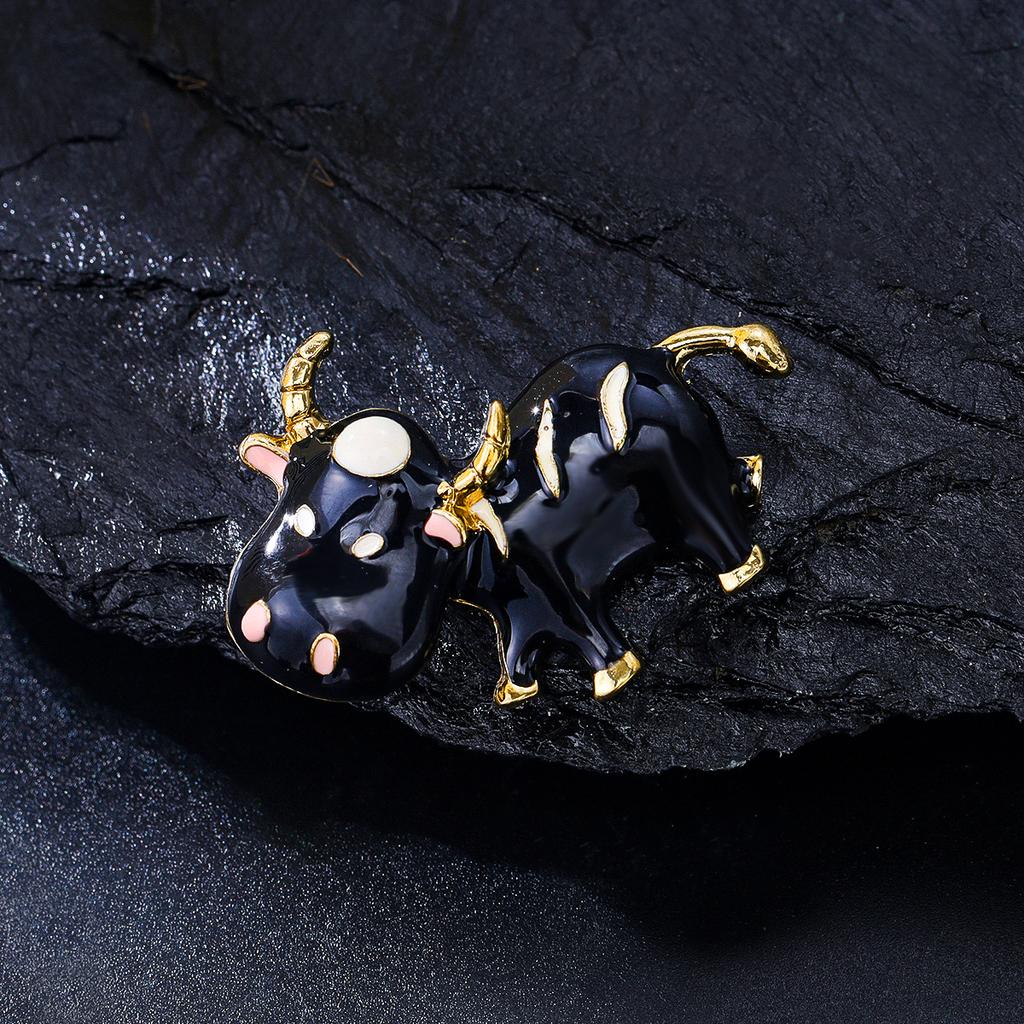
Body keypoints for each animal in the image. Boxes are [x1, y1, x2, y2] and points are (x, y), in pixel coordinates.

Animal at [226, 323, 791, 704]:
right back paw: (753, 476)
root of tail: (660, 355)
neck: (479, 542)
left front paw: (613, 676)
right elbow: (520, 643)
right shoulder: (517, 605)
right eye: (296, 515)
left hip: (688, 481)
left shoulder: (556, 581)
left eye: (372, 544)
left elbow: (591, 636)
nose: (280, 630)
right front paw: (515, 689)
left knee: (719, 532)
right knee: (742, 472)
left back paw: (740, 570)